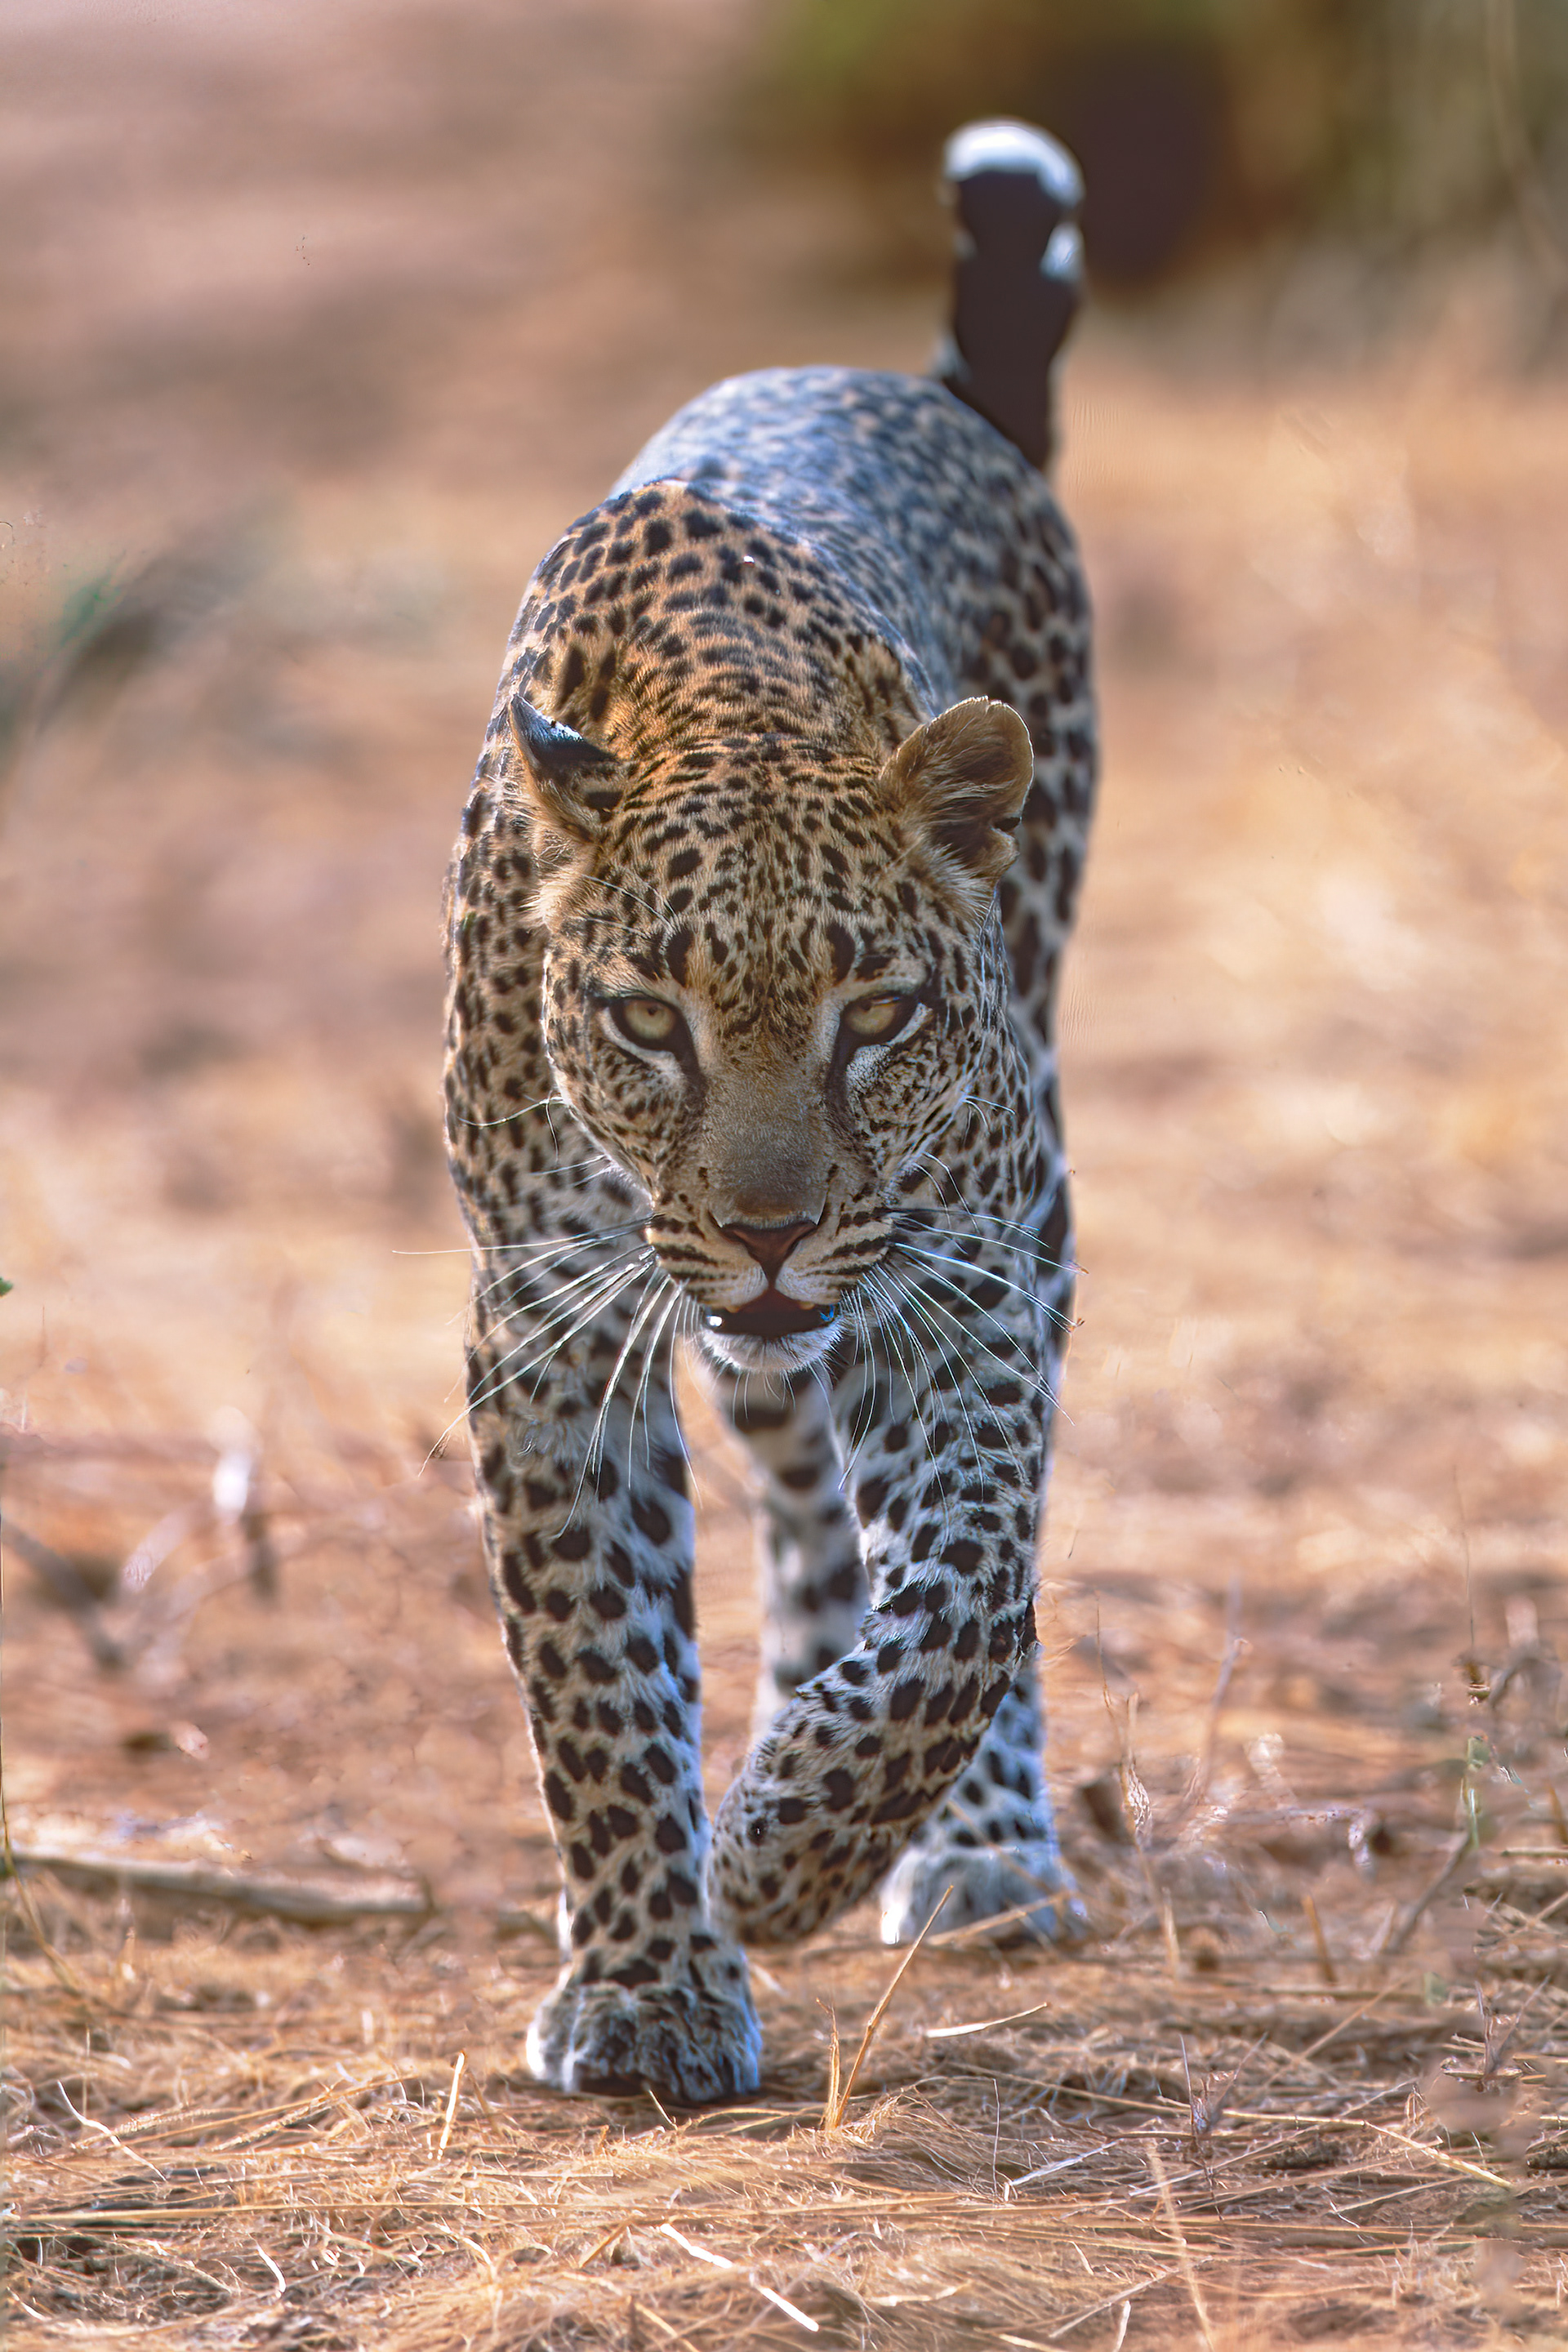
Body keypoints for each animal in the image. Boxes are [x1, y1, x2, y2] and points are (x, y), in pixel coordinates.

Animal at [444, 119, 1097, 2103]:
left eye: (872, 1018)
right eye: (648, 1023)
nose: (769, 1231)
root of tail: (911, 385)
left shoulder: (968, 1272)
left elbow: (966, 1596)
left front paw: (795, 1845)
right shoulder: (550, 1317)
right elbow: (592, 1665)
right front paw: (654, 1978)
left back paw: (977, 1846)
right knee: (806, 1496)